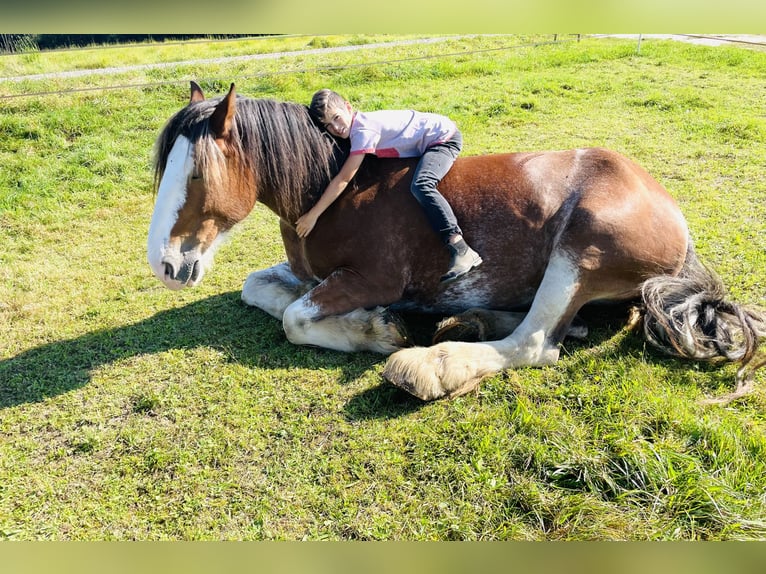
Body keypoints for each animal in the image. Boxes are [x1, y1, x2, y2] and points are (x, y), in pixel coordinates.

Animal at [147, 81, 764, 404]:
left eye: (196, 174)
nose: (165, 264)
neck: (331, 190)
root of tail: (673, 216)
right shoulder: (309, 273)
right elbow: (259, 289)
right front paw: (373, 322)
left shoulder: (371, 278)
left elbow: (297, 319)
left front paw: (379, 330)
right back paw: (464, 320)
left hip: (579, 251)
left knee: (535, 343)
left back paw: (432, 364)